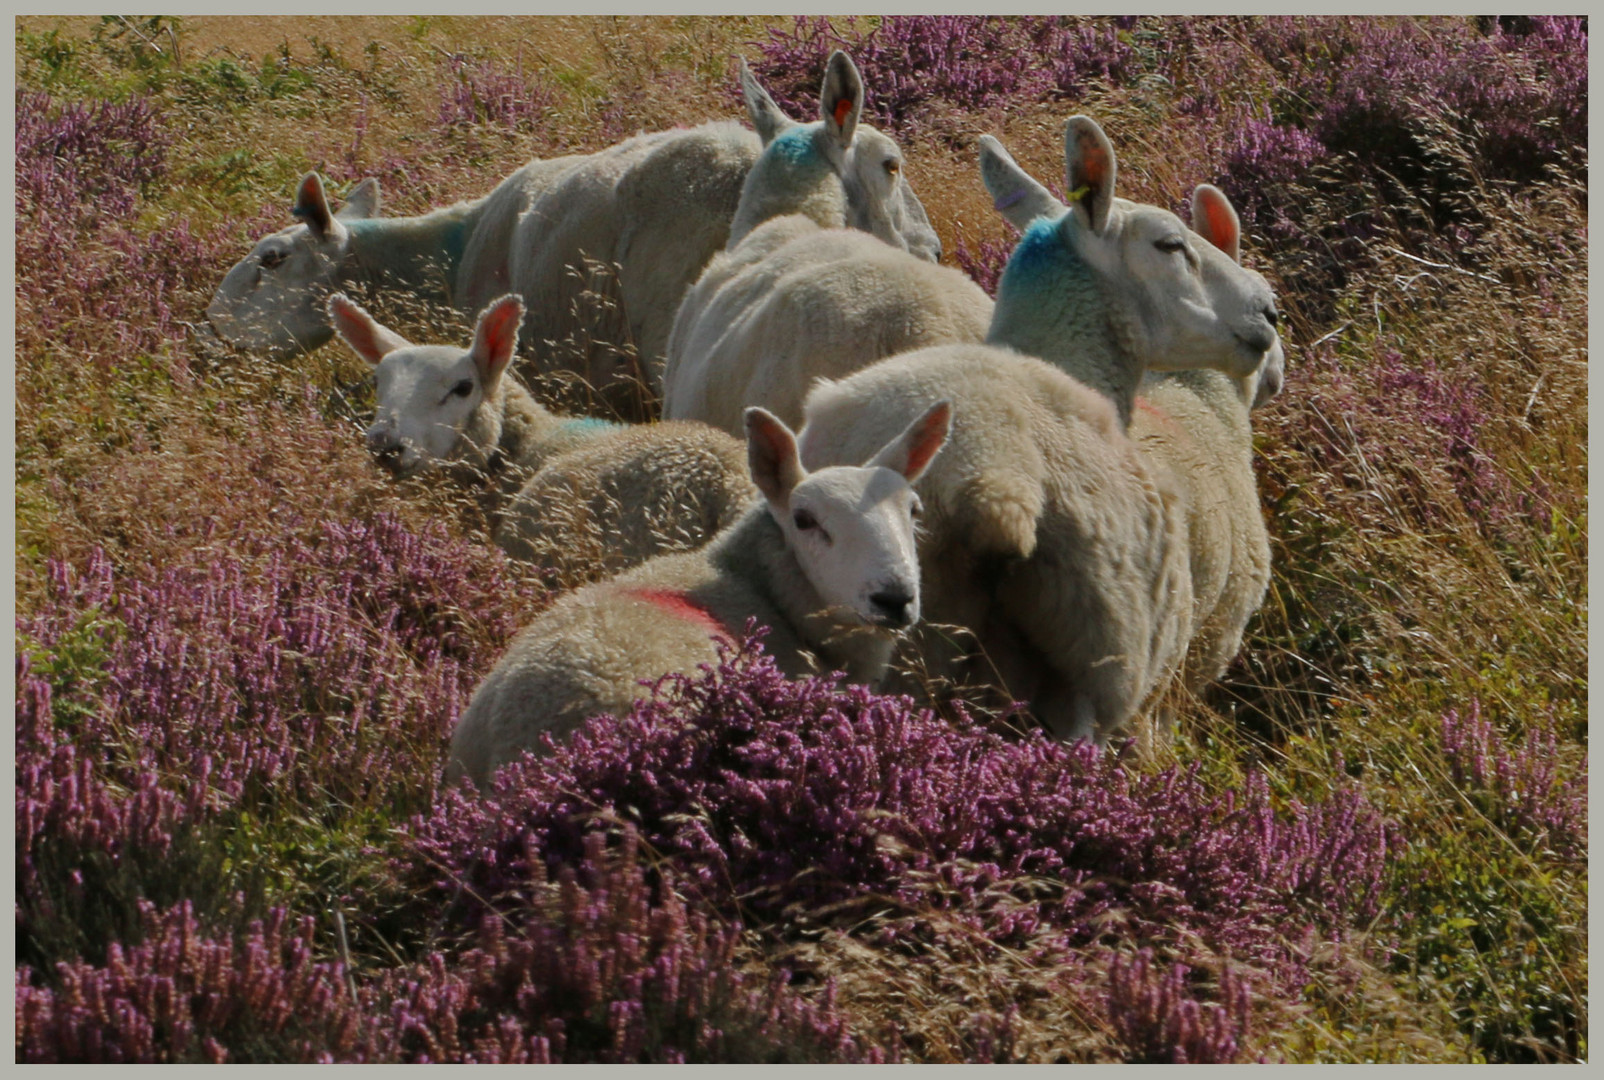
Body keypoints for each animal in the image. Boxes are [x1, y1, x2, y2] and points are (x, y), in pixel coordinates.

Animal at [795, 115, 1283, 741]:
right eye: (1170, 244)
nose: (1266, 312)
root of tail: (993, 476)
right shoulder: (1169, 674)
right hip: (1098, 650)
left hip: (898, 642)